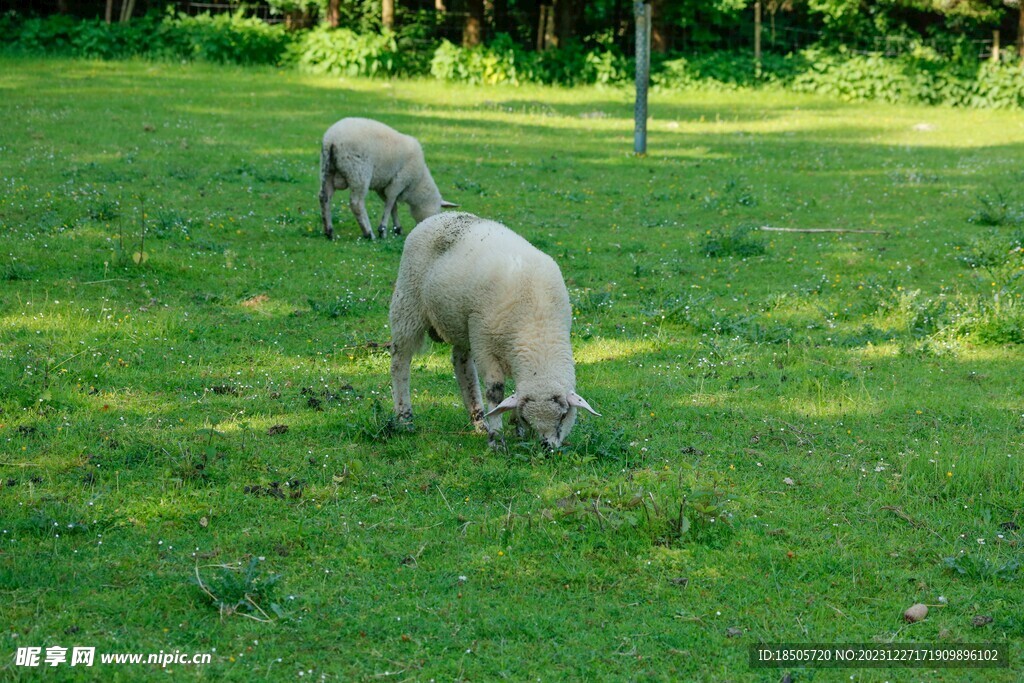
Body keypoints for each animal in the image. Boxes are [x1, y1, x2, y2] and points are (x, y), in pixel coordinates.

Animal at [315, 118, 456, 241]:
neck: (417, 184)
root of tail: (331, 139)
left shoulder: (382, 186)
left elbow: (393, 206)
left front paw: (397, 228)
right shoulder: (399, 181)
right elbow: (390, 202)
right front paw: (382, 230)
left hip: (327, 169)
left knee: (324, 197)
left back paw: (329, 231)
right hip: (359, 173)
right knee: (356, 203)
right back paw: (368, 233)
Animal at [389, 210, 598, 450]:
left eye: (564, 415)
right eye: (527, 417)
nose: (546, 448)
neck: (536, 328)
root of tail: (440, 215)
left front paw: (516, 431)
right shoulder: (485, 347)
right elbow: (495, 392)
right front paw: (497, 439)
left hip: (463, 326)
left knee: (462, 364)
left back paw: (479, 422)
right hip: (408, 304)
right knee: (400, 362)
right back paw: (405, 418)